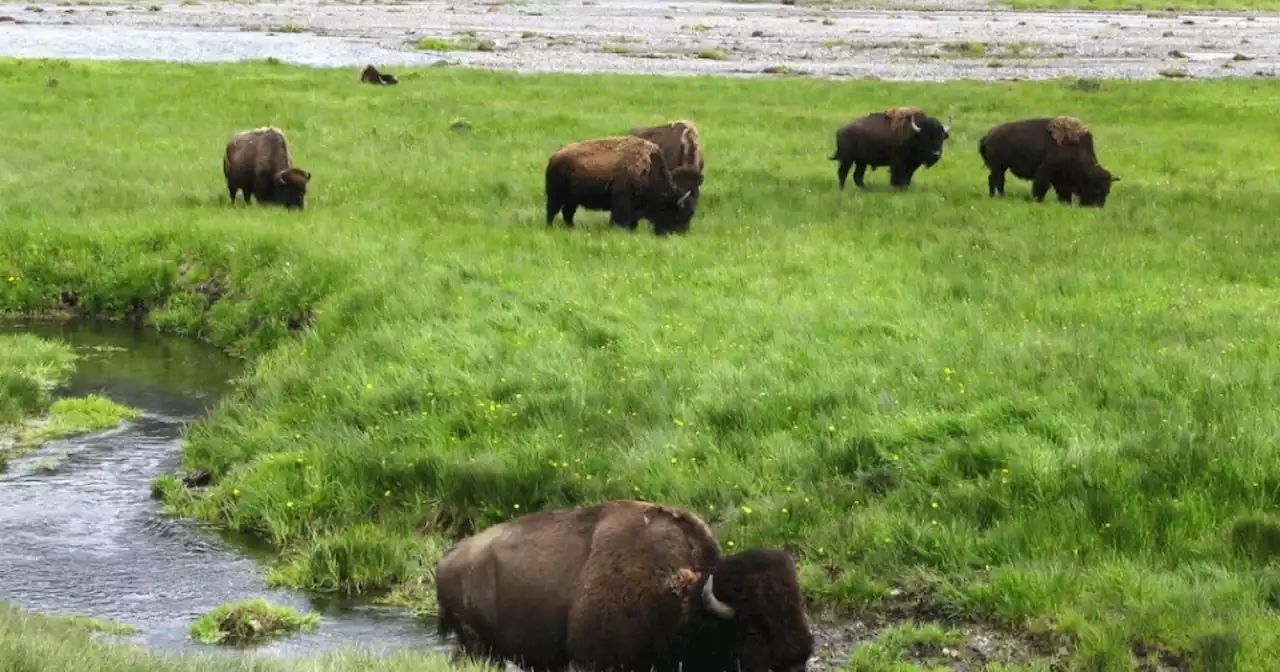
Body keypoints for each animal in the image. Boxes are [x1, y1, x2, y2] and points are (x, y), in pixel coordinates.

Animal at [540, 134, 701, 235]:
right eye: (679, 214)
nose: (680, 233)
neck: (648, 169)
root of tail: (554, 157)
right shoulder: (622, 202)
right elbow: (621, 219)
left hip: (572, 199)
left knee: (567, 213)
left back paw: (571, 228)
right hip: (556, 195)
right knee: (552, 211)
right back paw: (550, 228)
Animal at [977, 114, 1121, 207]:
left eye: (1107, 190)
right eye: (1096, 189)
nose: (1098, 206)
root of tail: (988, 136)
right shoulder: (1045, 172)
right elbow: (1041, 187)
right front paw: (1038, 201)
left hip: (1000, 167)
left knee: (994, 179)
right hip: (999, 167)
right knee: (997, 180)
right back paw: (1000, 196)